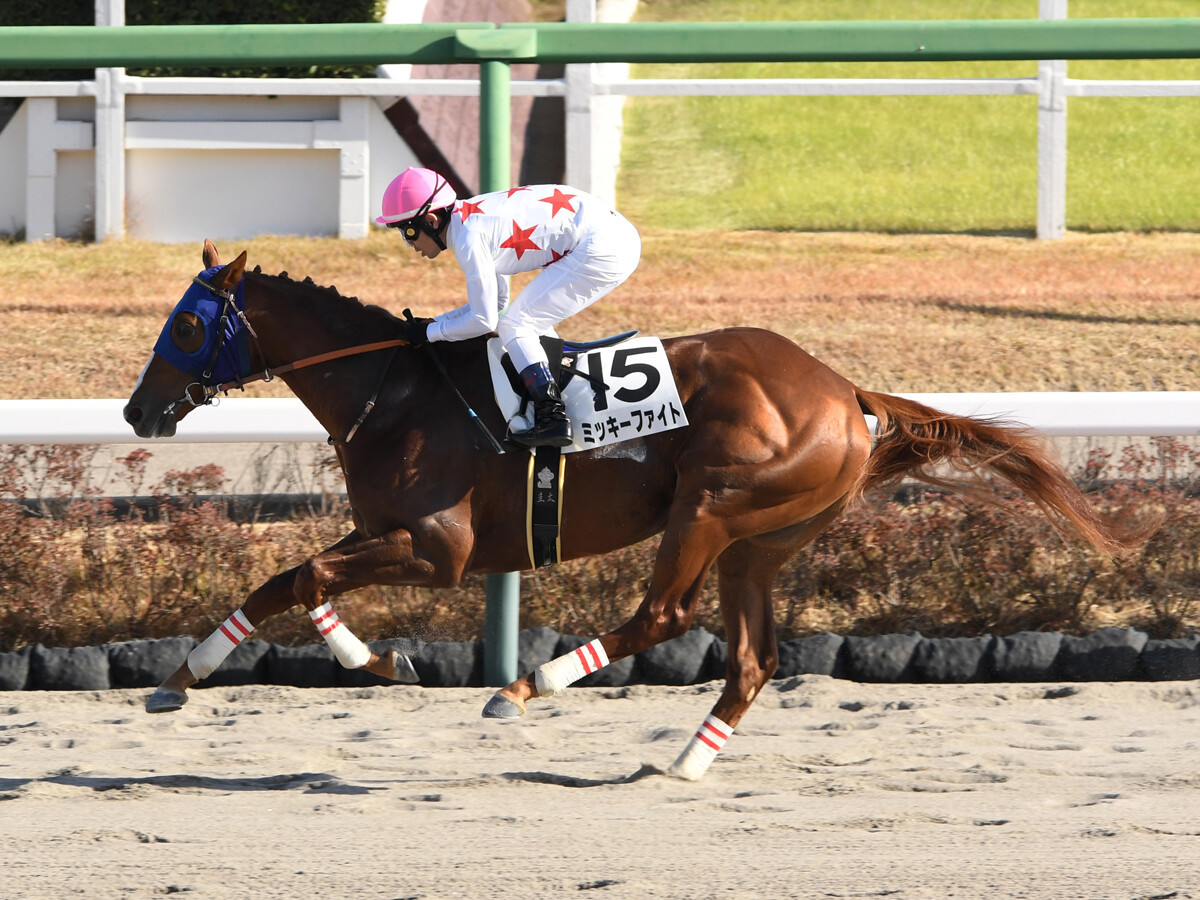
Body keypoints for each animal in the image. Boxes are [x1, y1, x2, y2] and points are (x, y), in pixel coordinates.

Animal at [124, 241, 1152, 782]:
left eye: (188, 325)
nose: (137, 411)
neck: (395, 390)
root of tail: (843, 389)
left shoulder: (437, 548)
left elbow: (308, 575)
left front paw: (370, 660)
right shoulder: (390, 532)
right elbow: (289, 578)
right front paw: (186, 676)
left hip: (713, 504)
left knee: (664, 613)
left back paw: (526, 686)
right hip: (761, 542)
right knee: (754, 657)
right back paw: (689, 760)